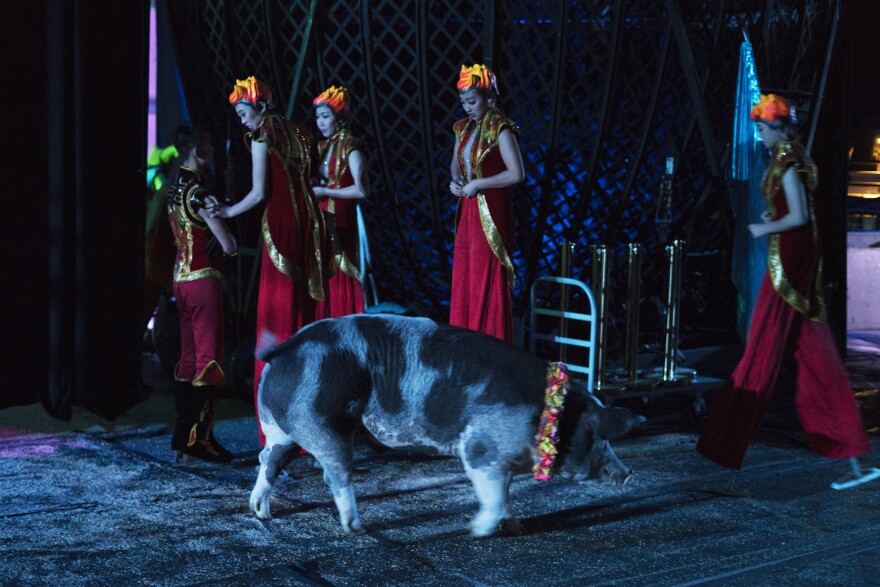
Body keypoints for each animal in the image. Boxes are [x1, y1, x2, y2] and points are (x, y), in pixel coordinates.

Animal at [251, 316, 644, 536]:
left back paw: (261, 512)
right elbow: (491, 494)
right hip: (323, 422)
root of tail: (287, 347)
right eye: (599, 438)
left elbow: (506, 494)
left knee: (267, 460)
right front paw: (476, 531)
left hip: (281, 429)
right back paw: (356, 528)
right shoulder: (481, 449)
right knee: (334, 474)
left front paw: (517, 529)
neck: (549, 412)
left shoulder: (504, 460)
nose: (628, 474)